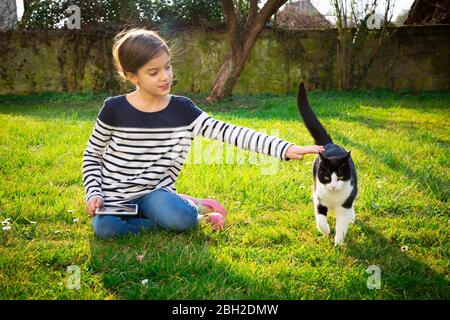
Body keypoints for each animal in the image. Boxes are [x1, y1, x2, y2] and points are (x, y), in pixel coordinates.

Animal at [298, 82, 356, 245]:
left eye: (340, 177)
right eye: (327, 177)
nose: (334, 186)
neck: (333, 197)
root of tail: (329, 144)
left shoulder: (345, 204)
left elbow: (342, 224)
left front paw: (338, 243)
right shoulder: (320, 198)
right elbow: (320, 219)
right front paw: (326, 231)